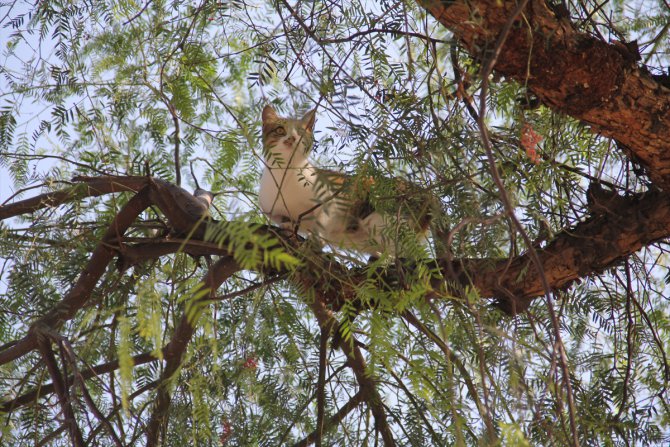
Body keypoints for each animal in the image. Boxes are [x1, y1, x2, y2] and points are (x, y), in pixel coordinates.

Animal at [260, 103, 434, 254]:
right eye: (280, 130)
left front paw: (316, 240)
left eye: (301, 132)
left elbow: (322, 221)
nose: (292, 138)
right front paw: (288, 227)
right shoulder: (273, 211)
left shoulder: (329, 198)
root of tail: (426, 194)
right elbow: (285, 220)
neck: (284, 173)